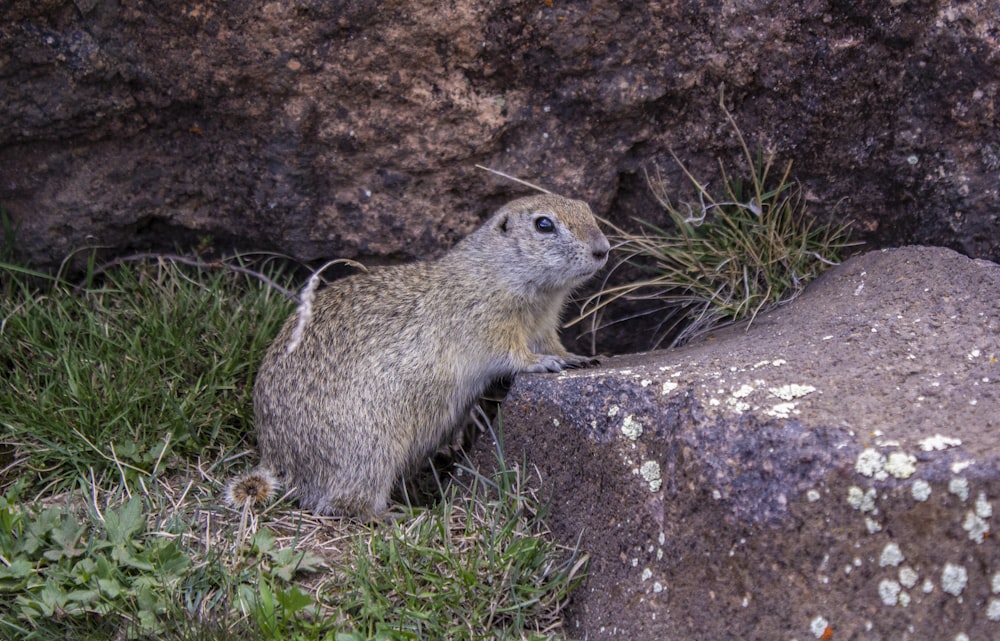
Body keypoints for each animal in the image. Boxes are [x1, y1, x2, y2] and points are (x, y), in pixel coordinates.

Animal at [252, 194, 608, 516]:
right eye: (543, 224)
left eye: (587, 208)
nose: (603, 249)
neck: (497, 272)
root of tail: (278, 463)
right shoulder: (489, 324)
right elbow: (513, 353)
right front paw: (544, 362)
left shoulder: (544, 327)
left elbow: (552, 344)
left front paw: (578, 357)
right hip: (372, 452)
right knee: (343, 505)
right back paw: (396, 515)